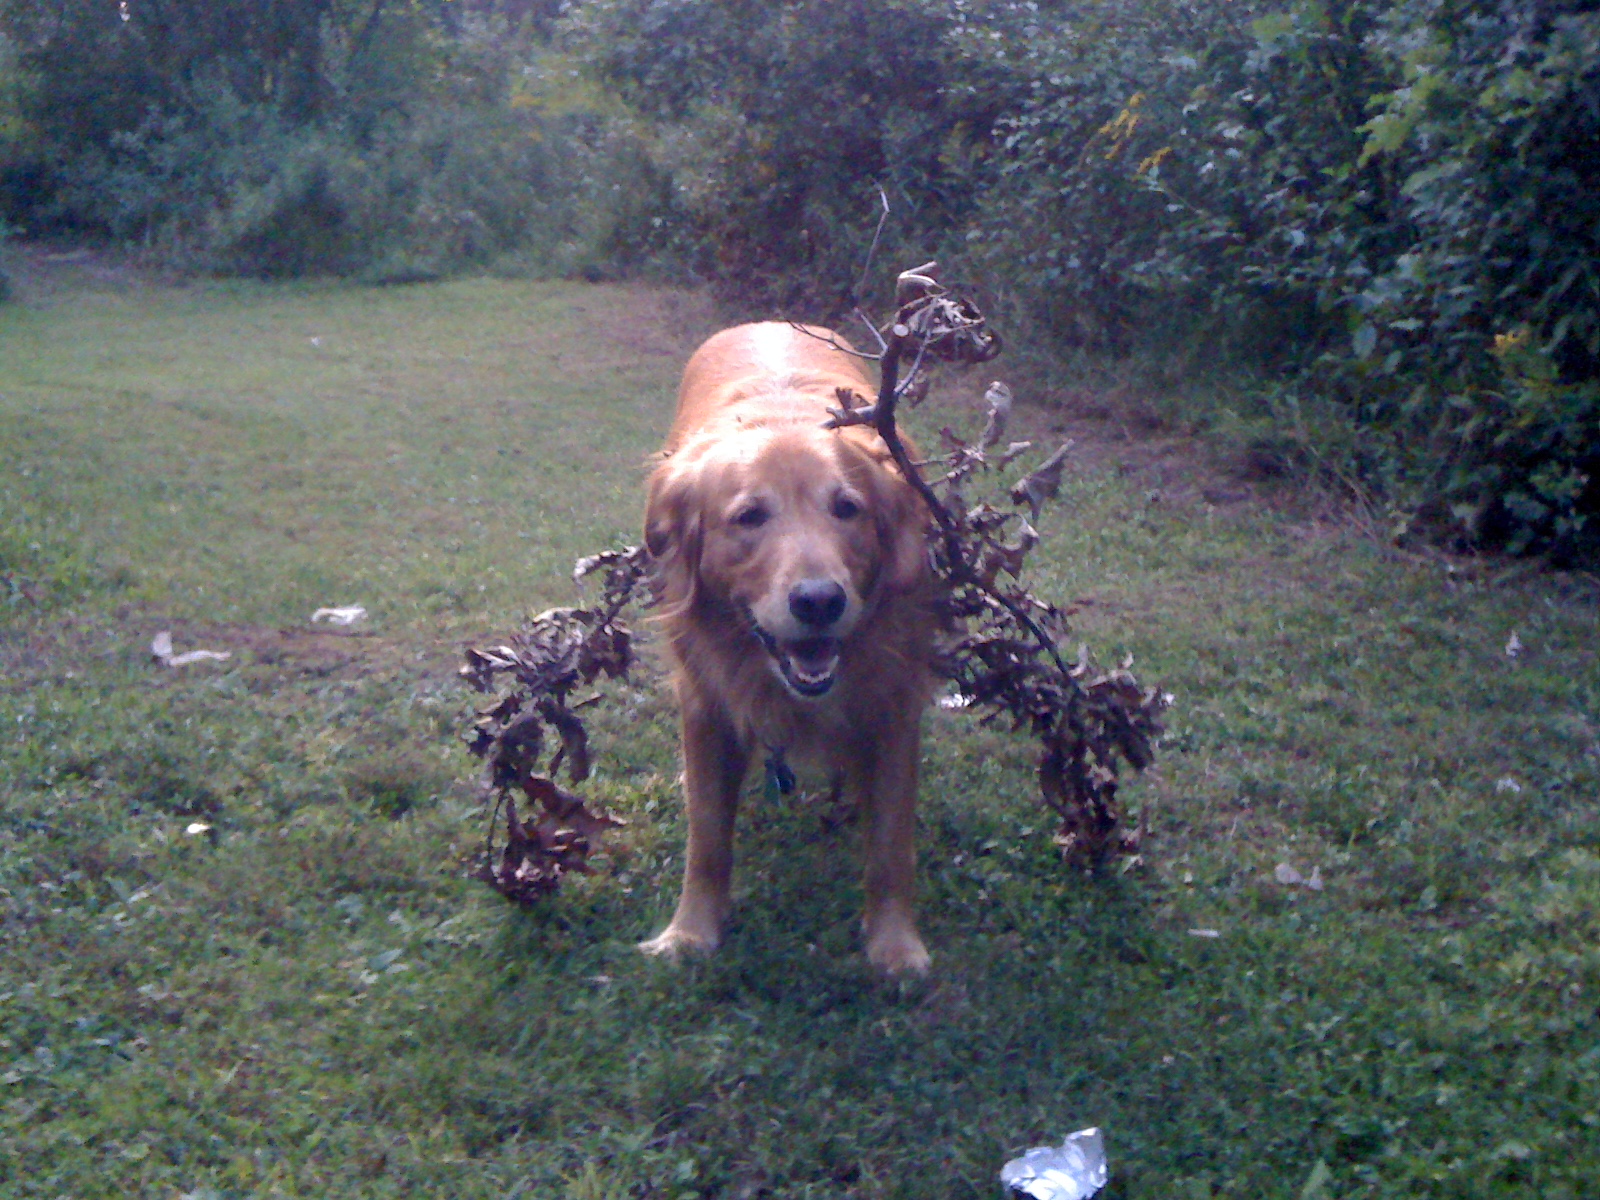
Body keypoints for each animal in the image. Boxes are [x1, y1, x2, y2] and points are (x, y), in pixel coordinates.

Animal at [636, 321, 934, 979]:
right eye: (749, 516)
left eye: (847, 509)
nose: (819, 601)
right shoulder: (706, 701)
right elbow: (707, 835)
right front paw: (690, 932)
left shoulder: (896, 703)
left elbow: (892, 843)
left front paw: (896, 944)